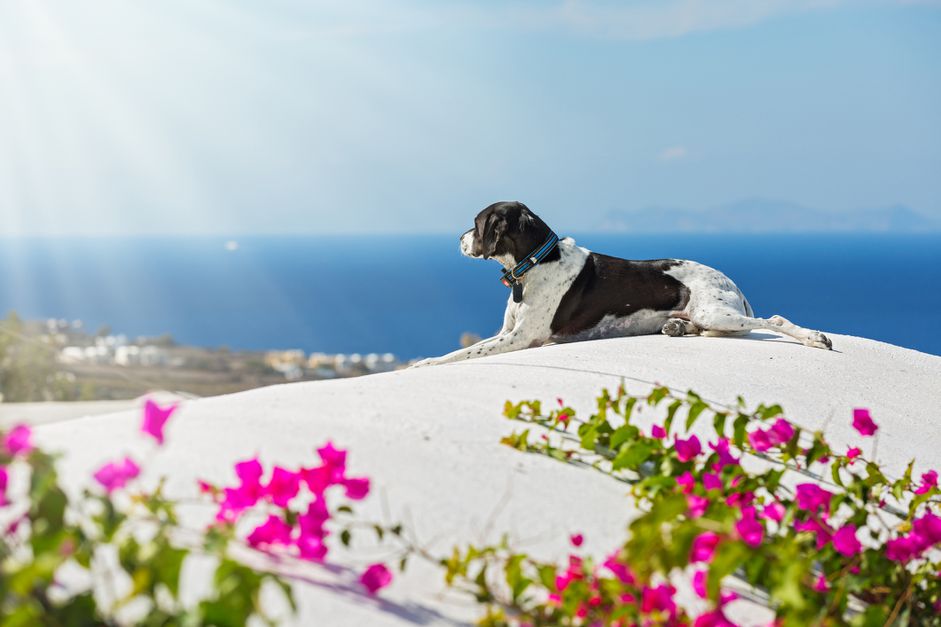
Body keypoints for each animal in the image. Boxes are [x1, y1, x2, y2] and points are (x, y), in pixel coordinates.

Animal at [412, 201, 828, 368]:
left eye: (477, 224)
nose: (458, 239)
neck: (536, 262)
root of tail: (733, 283)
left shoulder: (522, 338)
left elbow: (463, 353)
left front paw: (426, 363)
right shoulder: (505, 333)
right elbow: (467, 348)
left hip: (716, 311)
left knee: (775, 320)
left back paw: (815, 338)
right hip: (709, 316)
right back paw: (676, 327)